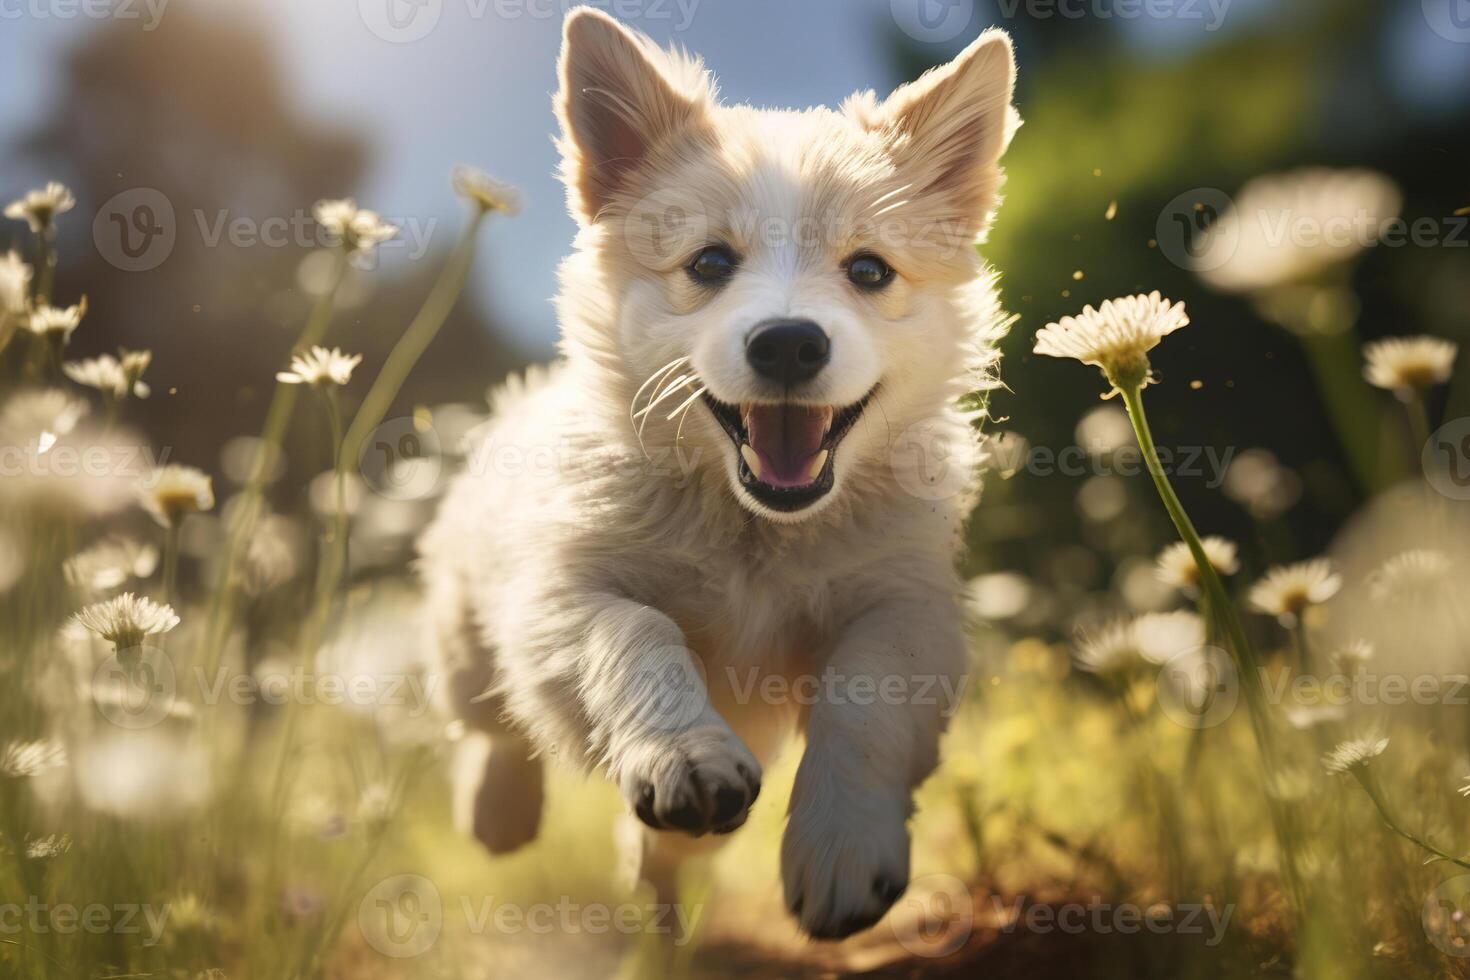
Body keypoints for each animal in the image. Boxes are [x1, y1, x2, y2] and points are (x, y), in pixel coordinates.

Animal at [420, 9, 1017, 940]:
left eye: (869, 270)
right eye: (708, 264)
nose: (789, 344)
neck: (755, 532)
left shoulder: (905, 603)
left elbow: (867, 697)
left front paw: (842, 849)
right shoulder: (560, 593)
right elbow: (635, 639)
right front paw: (685, 759)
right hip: (463, 625)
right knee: (487, 720)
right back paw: (501, 811)